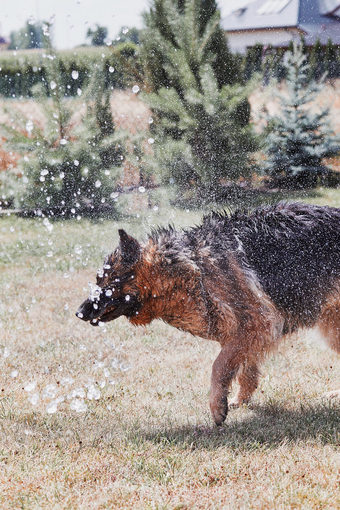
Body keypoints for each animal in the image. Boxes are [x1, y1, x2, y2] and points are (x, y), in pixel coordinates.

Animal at [77, 203, 340, 426]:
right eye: (98, 281)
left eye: (107, 283)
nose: (79, 313)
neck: (193, 268)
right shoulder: (246, 333)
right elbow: (245, 370)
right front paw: (240, 399)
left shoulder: (255, 324)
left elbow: (218, 366)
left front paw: (217, 407)